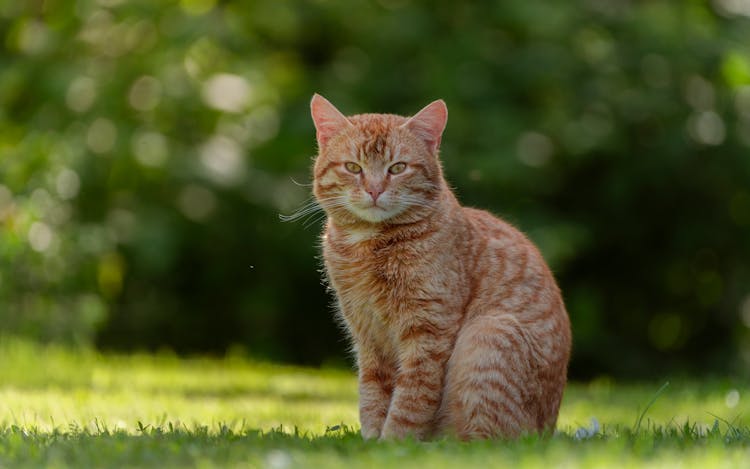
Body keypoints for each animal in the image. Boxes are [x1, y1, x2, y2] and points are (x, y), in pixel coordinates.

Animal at [308, 94, 572, 438]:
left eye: (398, 168)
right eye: (353, 167)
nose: (375, 190)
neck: (369, 245)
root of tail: (548, 430)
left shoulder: (427, 331)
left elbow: (411, 400)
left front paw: (393, 442)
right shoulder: (367, 335)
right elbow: (372, 395)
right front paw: (371, 440)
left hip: (489, 332)